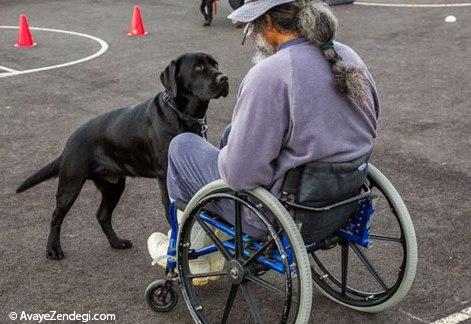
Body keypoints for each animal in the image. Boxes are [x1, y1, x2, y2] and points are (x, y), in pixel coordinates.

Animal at [15, 53, 229, 260]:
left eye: (215, 64)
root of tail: (69, 142)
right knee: (56, 217)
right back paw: (53, 250)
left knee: (102, 215)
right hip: (71, 183)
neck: (184, 115)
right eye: (198, 67)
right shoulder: (166, 176)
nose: (224, 78)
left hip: (114, 185)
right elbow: (173, 213)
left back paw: (116, 242)